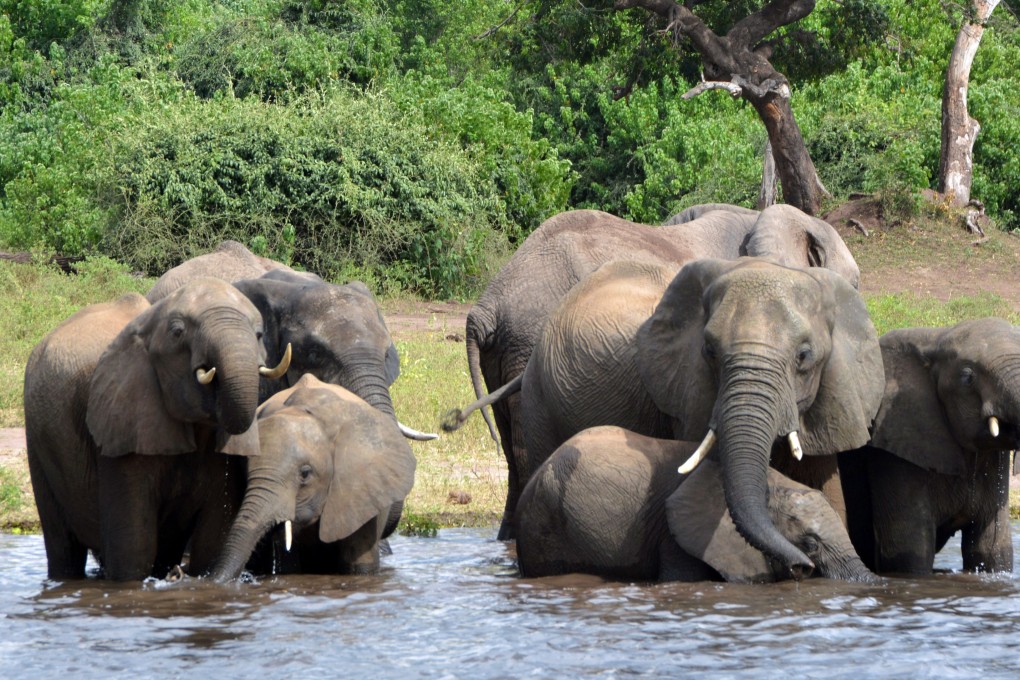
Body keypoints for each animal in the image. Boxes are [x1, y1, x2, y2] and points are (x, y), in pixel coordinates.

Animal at [24, 278, 291, 581]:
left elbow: (213, 539)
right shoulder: (122, 421)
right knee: (63, 547)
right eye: (178, 333)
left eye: (258, 335)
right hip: (38, 440)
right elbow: (133, 547)